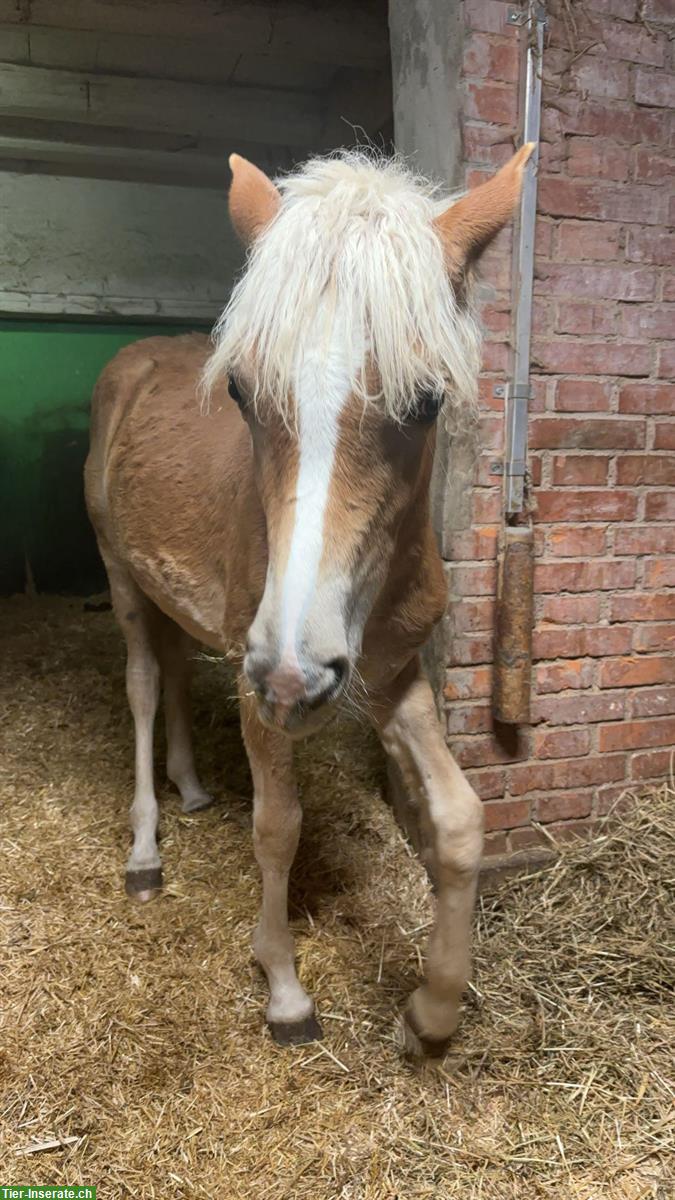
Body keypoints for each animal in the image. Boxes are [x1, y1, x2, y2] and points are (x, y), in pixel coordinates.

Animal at [85, 145, 530, 1056]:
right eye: (242, 392)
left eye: (426, 399)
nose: (294, 673)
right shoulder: (261, 684)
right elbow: (277, 826)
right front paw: (284, 990)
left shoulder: (393, 678)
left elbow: (460, 821)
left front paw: (430, 1013)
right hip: (122, 578)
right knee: (143, 685)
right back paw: (145, 850)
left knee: (175, 674)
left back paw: (190, 788)